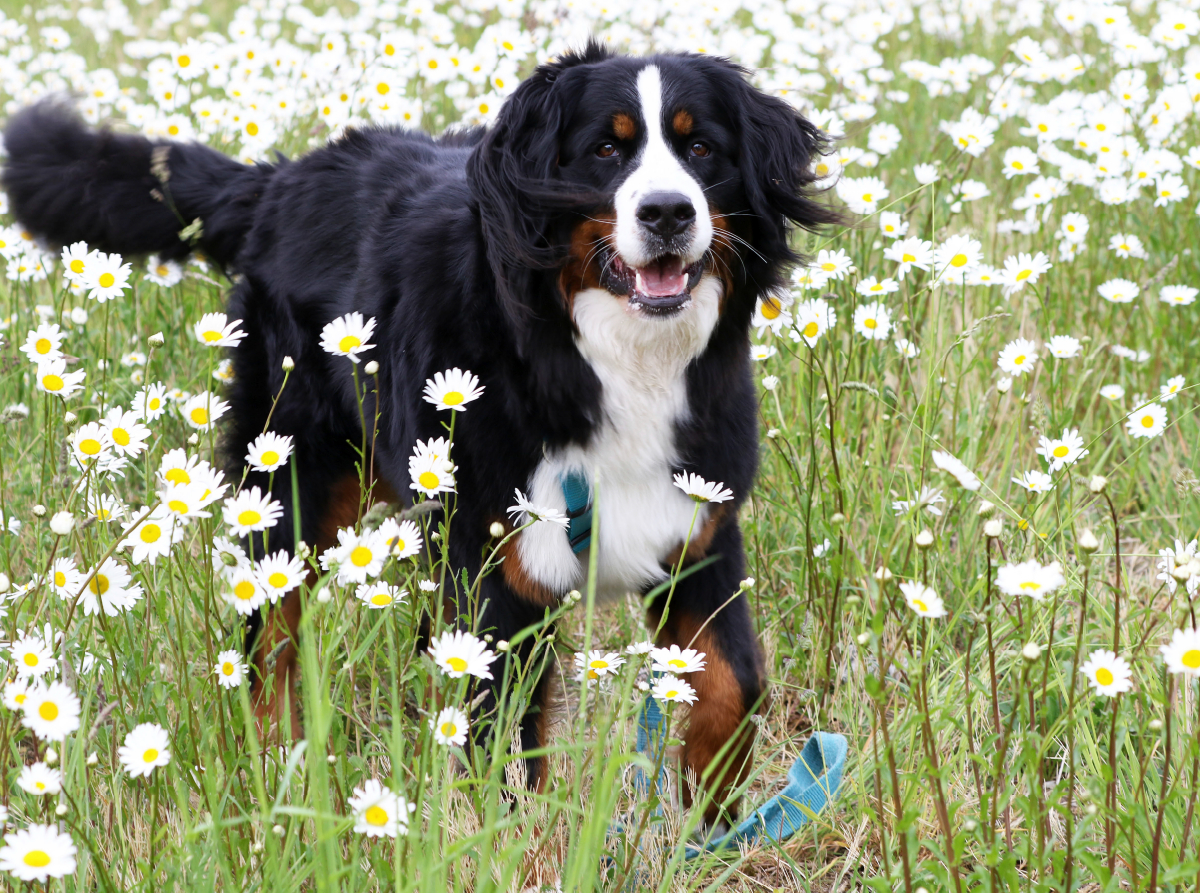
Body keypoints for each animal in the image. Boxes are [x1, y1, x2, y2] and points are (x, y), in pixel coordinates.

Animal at [2, 42, 835, 820]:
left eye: (702, 149)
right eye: (607, 149)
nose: (667, 211)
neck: (604, 358)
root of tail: (282, 179)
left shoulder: (697, 530)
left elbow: (733, 685)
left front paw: (706, 823)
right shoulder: (498, 564)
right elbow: (505, 758)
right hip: (296, 482)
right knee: (269, 643)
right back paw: (279, 780)